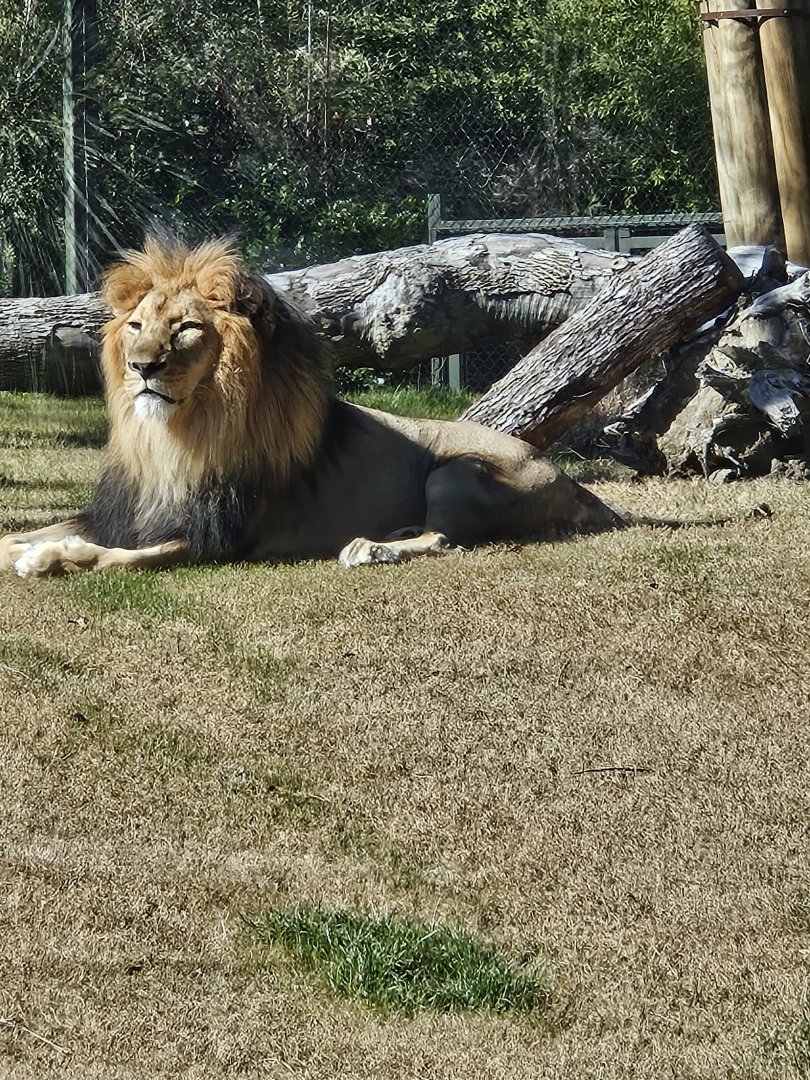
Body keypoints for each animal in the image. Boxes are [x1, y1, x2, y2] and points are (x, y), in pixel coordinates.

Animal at [0, 236, 705, 578]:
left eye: (186, 330)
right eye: (137, 327)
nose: (142, 367)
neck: (174, 435)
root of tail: (571, 481)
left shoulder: (215, 538)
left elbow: (111, 557)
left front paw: (52, 561)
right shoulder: (128, 511)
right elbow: (34, 530)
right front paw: (26, 546)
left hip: (457, 470)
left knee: (446, 539)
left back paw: (370, 550)